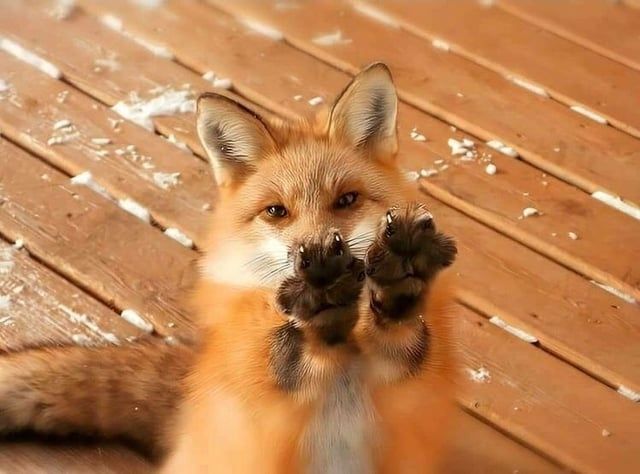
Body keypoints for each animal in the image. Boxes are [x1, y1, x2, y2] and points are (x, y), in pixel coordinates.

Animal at [0, 63, 459, 473]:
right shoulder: (257, 389)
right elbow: (286, 352)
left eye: (346, 200)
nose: (317, 255)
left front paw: (398, 283)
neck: (346, 353)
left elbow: (402, 332)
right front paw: (323, 303)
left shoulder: (407, 385)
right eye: (276, 211)